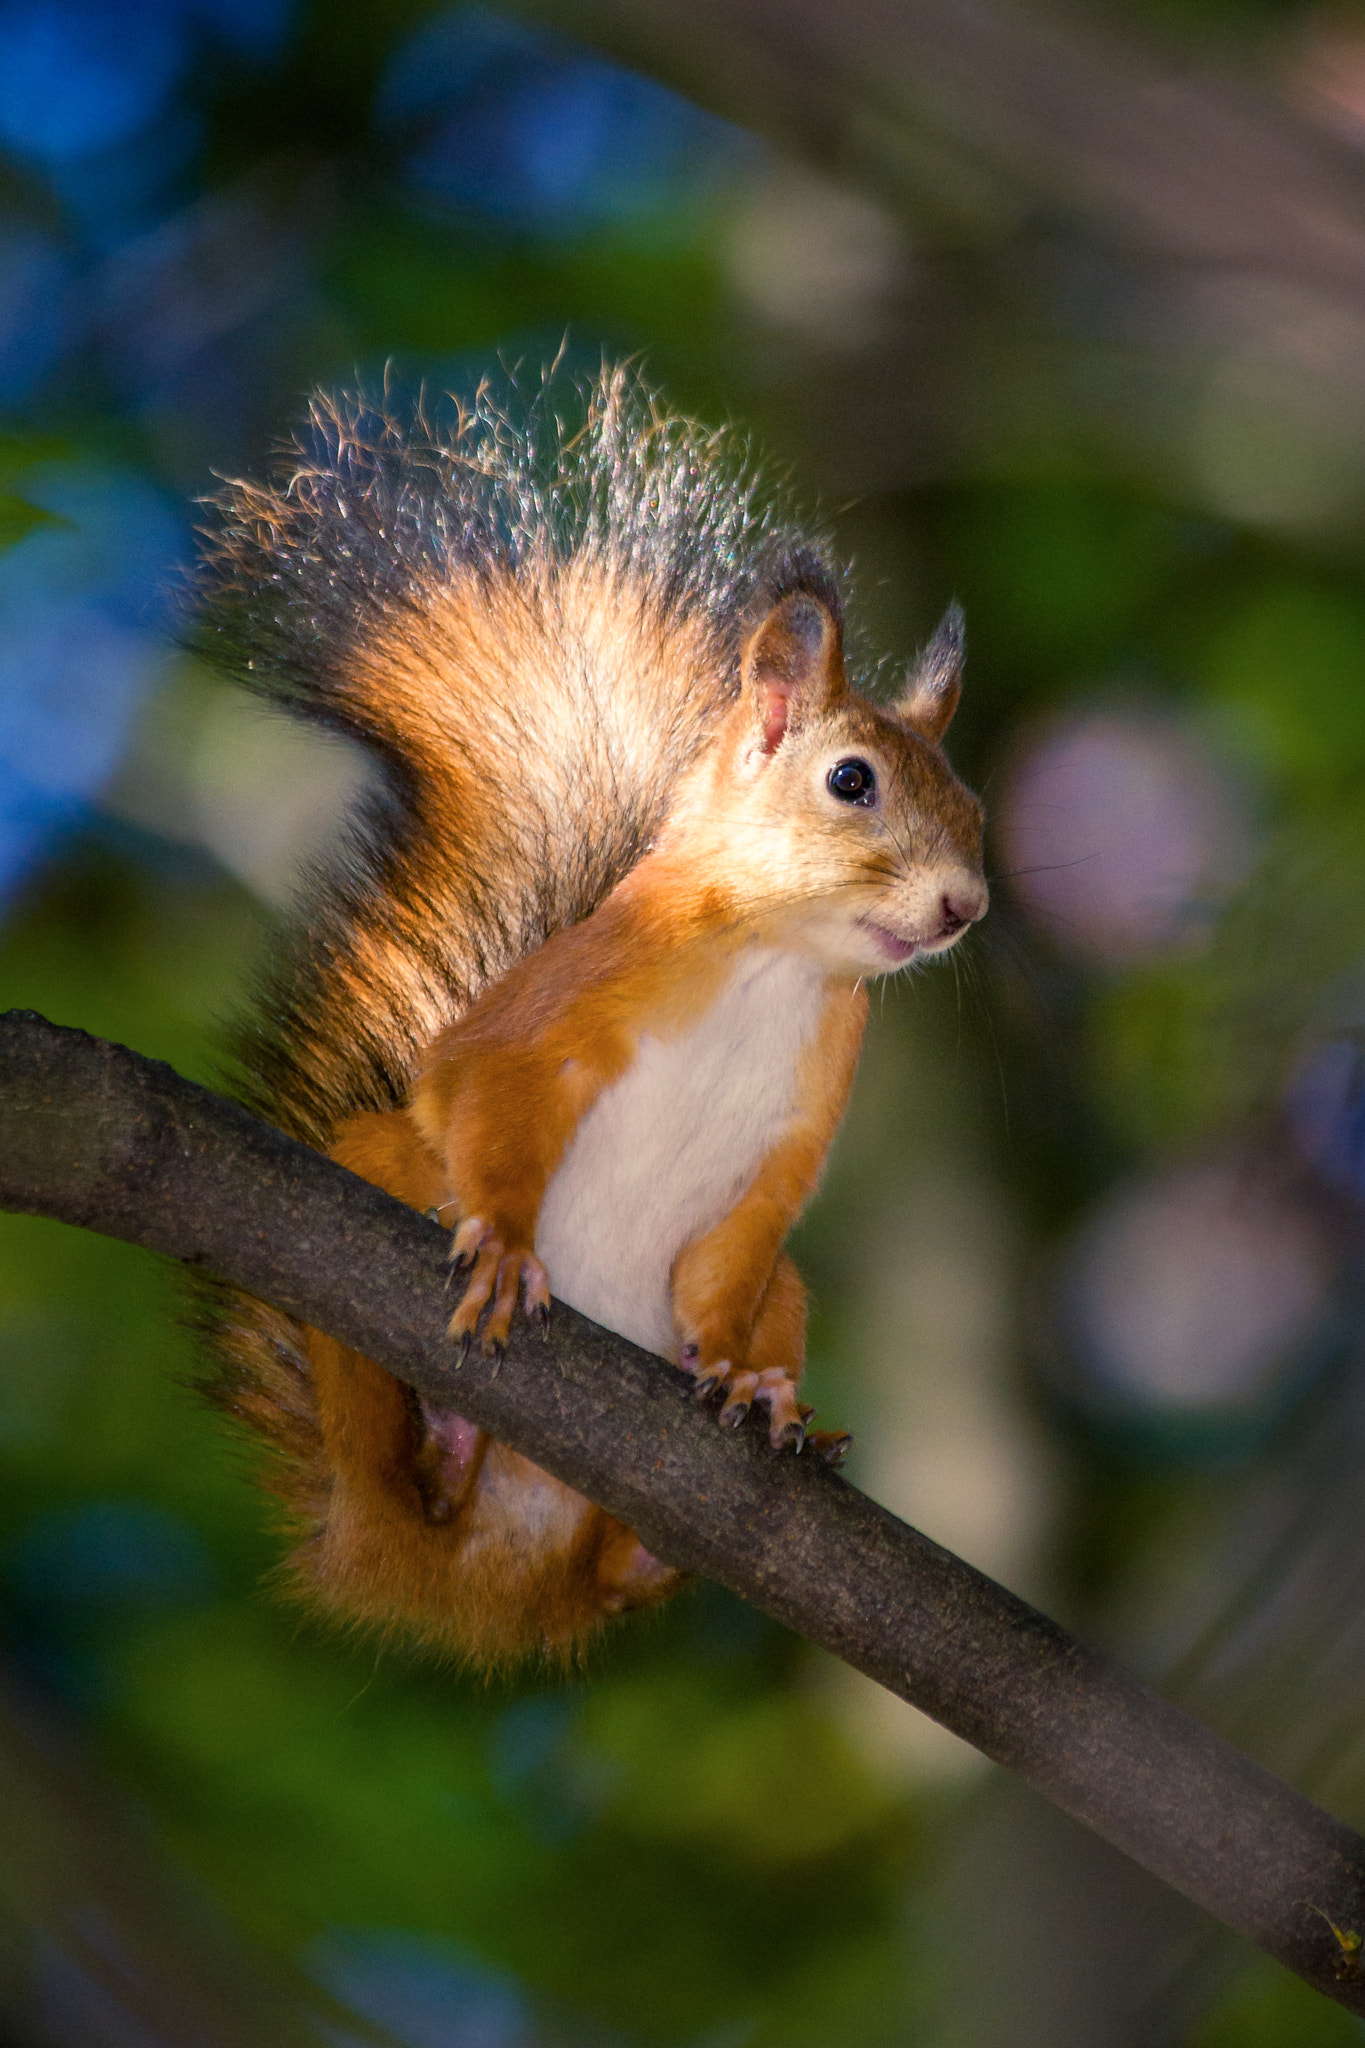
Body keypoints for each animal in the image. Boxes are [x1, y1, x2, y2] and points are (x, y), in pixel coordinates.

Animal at [194, 368, 982, 1671]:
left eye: (971, 806)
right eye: (851, 780)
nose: (966, 906)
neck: (777, 964)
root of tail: (477, 1577)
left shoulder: (794, 1133)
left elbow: (734, 1253)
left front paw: (737, 1377)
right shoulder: (557, 1010)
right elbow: (491, 1093)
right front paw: (510, 1246)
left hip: (781, 1311)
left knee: (616, 1574)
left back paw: (721, 1471)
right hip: (360, 1222)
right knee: (399, 1452)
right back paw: (442, 1444)